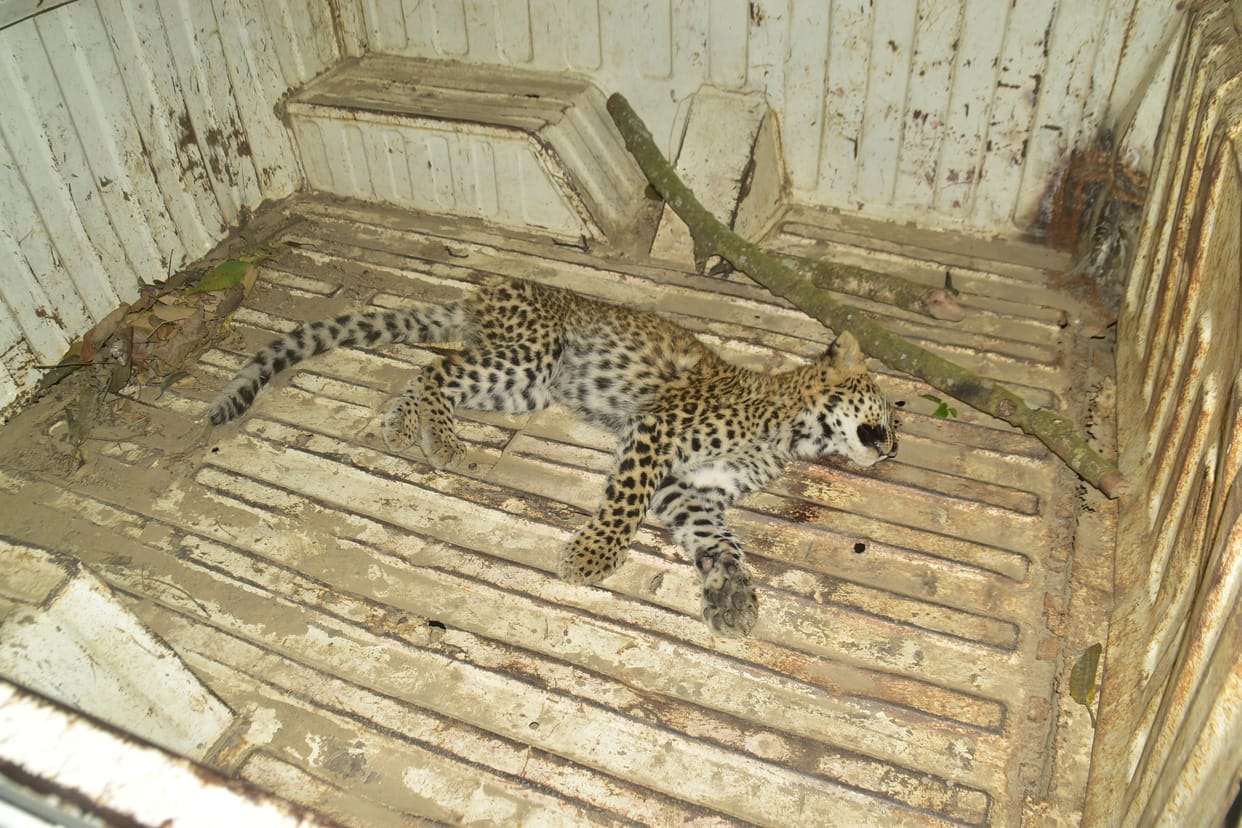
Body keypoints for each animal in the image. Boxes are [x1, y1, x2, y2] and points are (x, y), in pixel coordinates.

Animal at [208, 277, 898, 637]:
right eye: (888, 415)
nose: (892, 448)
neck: (791, 432)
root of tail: (488, 290)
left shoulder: (689, 489)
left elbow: (720, 542)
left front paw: (731, 597)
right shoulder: (654, 434)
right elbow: (623, 505)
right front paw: (590, 557)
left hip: (524, 383)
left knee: (428, 370)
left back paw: (405, 429)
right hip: (531, 359)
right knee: (440, 366)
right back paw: (444, 440)